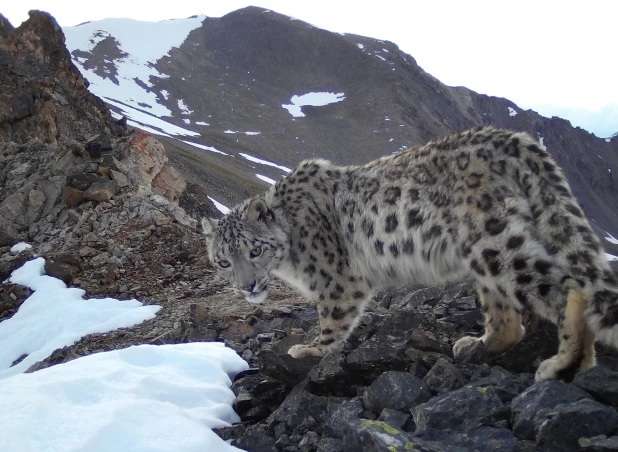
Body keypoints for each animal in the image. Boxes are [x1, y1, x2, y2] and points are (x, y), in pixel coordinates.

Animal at [202, 126, 616, 382]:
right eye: (223, 261)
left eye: (255, 249)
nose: (247, 285)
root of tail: (509, 137)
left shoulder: (336, 279)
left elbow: (332, 318)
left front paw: (309, 350)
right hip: (485, 256)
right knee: (509, 318)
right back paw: (476, 345)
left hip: (496, 243)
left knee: (568, 288)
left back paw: (563, 364)